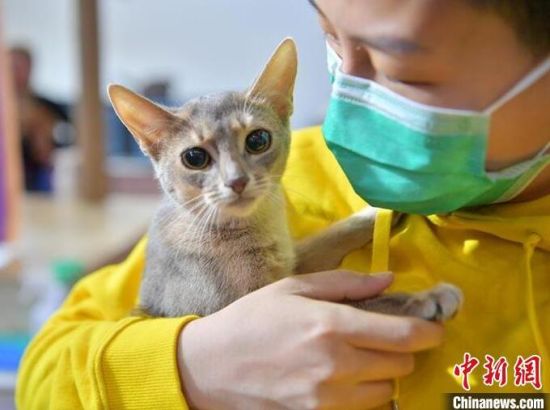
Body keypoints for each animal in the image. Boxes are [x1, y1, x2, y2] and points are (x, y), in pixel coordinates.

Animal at [108, 38, 462, 320]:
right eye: (194, 158)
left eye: (257, 140)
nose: (237, 181)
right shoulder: (248, 305)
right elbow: (352, 304)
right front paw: (423, 298)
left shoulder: (291, 262)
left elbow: (329, 236)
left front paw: (385, 209)